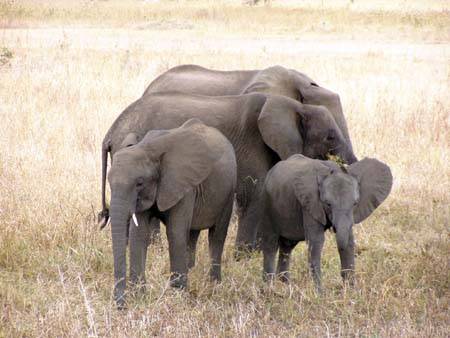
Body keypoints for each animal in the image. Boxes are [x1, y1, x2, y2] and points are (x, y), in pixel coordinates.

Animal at [99, 92, 358, 254]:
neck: (297, 107)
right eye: (330, 137)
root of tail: (110, 133)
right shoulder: (254, 147)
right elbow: (254, 195)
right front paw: (245, 258)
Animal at [107, 118, 237, 306]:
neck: (148, 148)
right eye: (109, 182)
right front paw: (139, 296)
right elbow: (138, 234)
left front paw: (177, 295)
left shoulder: (182, 185)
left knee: (217, 236)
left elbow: (175, 233)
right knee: (192, 234)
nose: (121, 306)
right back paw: (192, 271)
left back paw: (214, 284)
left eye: (139, 183)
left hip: (228, 190)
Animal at [262, 154, 392, 290]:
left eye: (355, 203)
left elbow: (349, 240)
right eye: (327, 204)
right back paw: (269, 288)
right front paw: (320, 293)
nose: (341, 281)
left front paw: (351, 291)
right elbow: (316, 241)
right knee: (271, 244)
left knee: (287, 247)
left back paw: (285, 285)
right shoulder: (310, 204)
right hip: (267, 203)